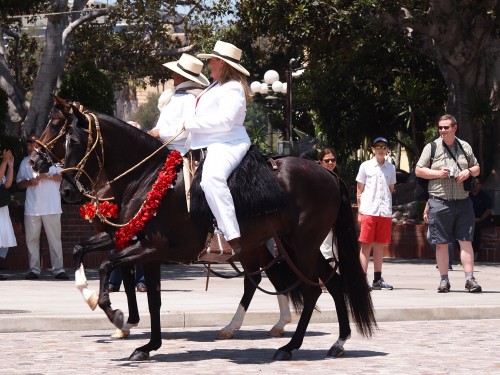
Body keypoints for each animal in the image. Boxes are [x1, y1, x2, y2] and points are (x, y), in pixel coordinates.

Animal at [33, 96, 376, 362]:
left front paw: (115, 315)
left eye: (73, 140)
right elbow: (147, 294)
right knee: (329, 283)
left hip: (300, 244)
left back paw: (289, 345)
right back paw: (335, 341)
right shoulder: (140, 248)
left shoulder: (150, 246)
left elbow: (107, 267)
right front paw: (147, 344)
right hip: (288, 245)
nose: (66, 191)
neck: (147, 176)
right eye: (63, 138)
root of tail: (328, 174)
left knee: (311, 287)